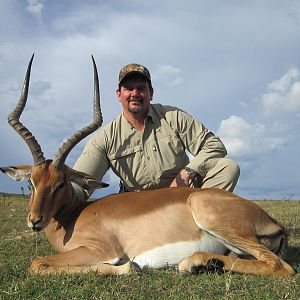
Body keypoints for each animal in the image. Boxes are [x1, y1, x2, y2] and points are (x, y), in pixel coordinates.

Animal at [0, 56, 296, 276]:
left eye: (60, 183)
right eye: (32, 182)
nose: (35, 220)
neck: (74, 217)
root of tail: (272, 222)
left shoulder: (99, 249)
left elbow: (37, 263)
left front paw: (128, 267)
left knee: (280, 266)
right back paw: (199, 263)